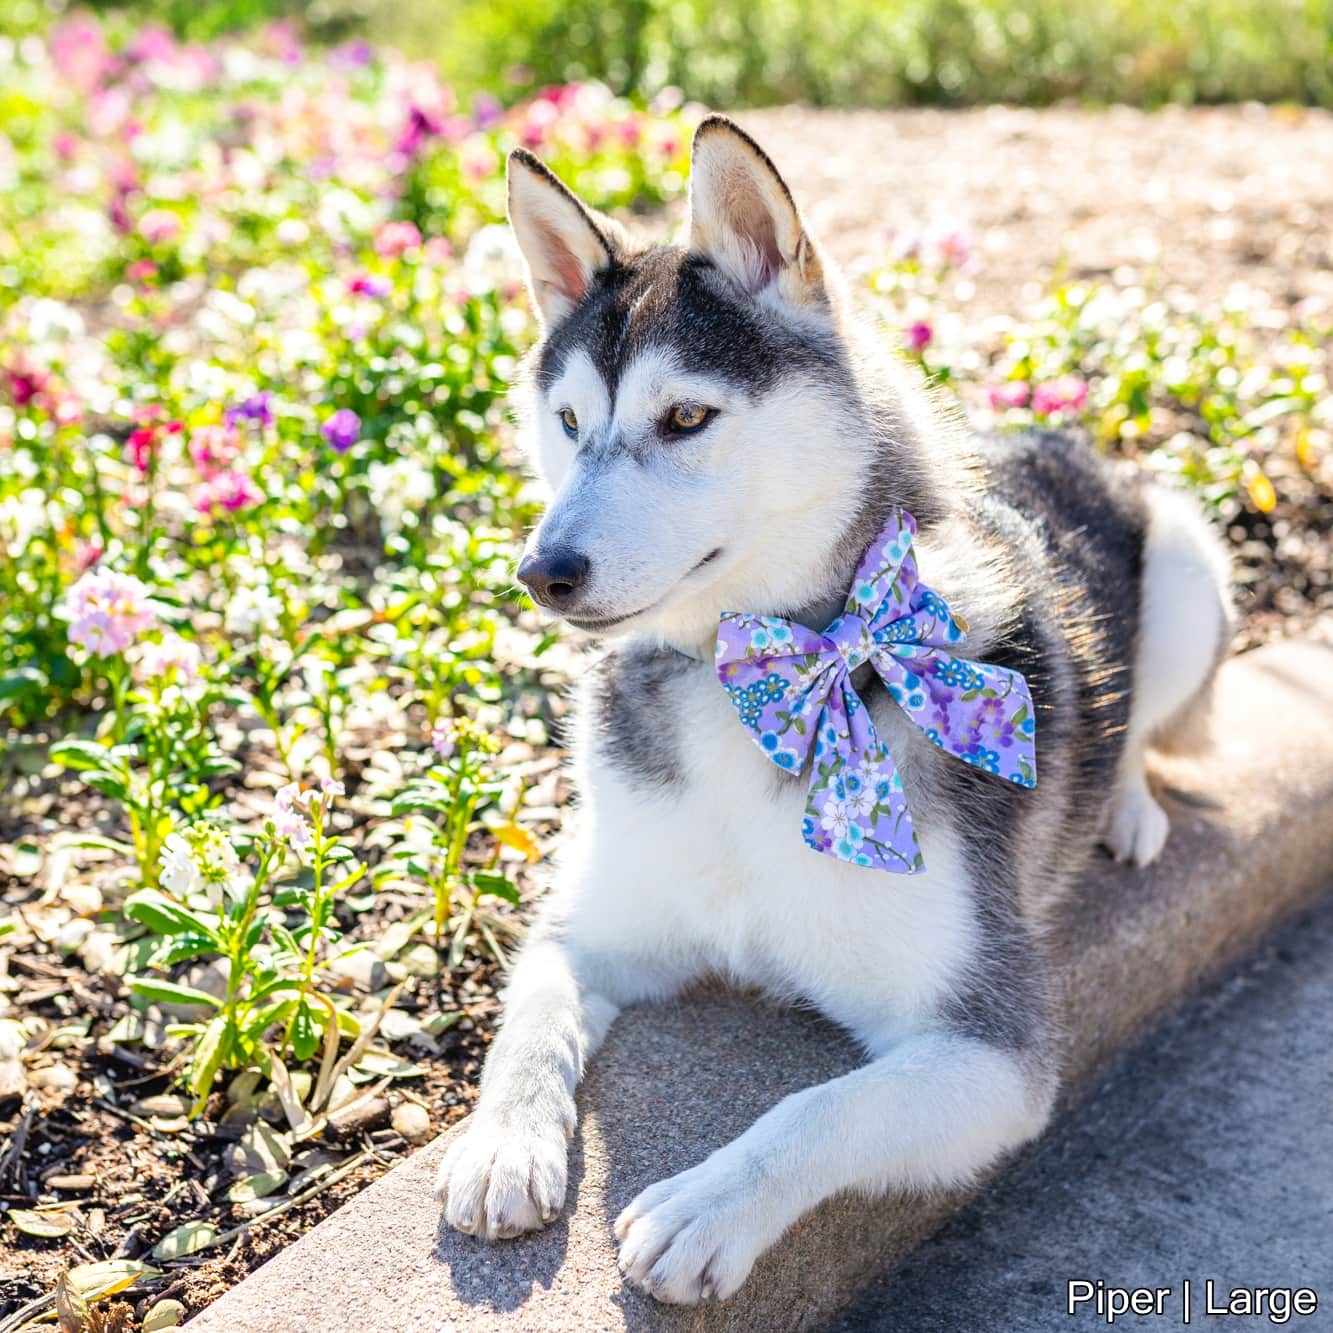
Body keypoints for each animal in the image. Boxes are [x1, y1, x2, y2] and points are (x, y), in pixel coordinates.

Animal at [431, 114, 1231, 1301]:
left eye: (685, 416)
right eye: (566, 421)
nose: (543, 571)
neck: (751, 681)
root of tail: (1051, 436)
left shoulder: (984, 1050)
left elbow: (821, 1109)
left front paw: (706, 1204)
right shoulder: (596, 923)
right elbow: (531, 1013)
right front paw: (502, 1142)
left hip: (1184, 562)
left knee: (1139, 724)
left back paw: (1126, 810)